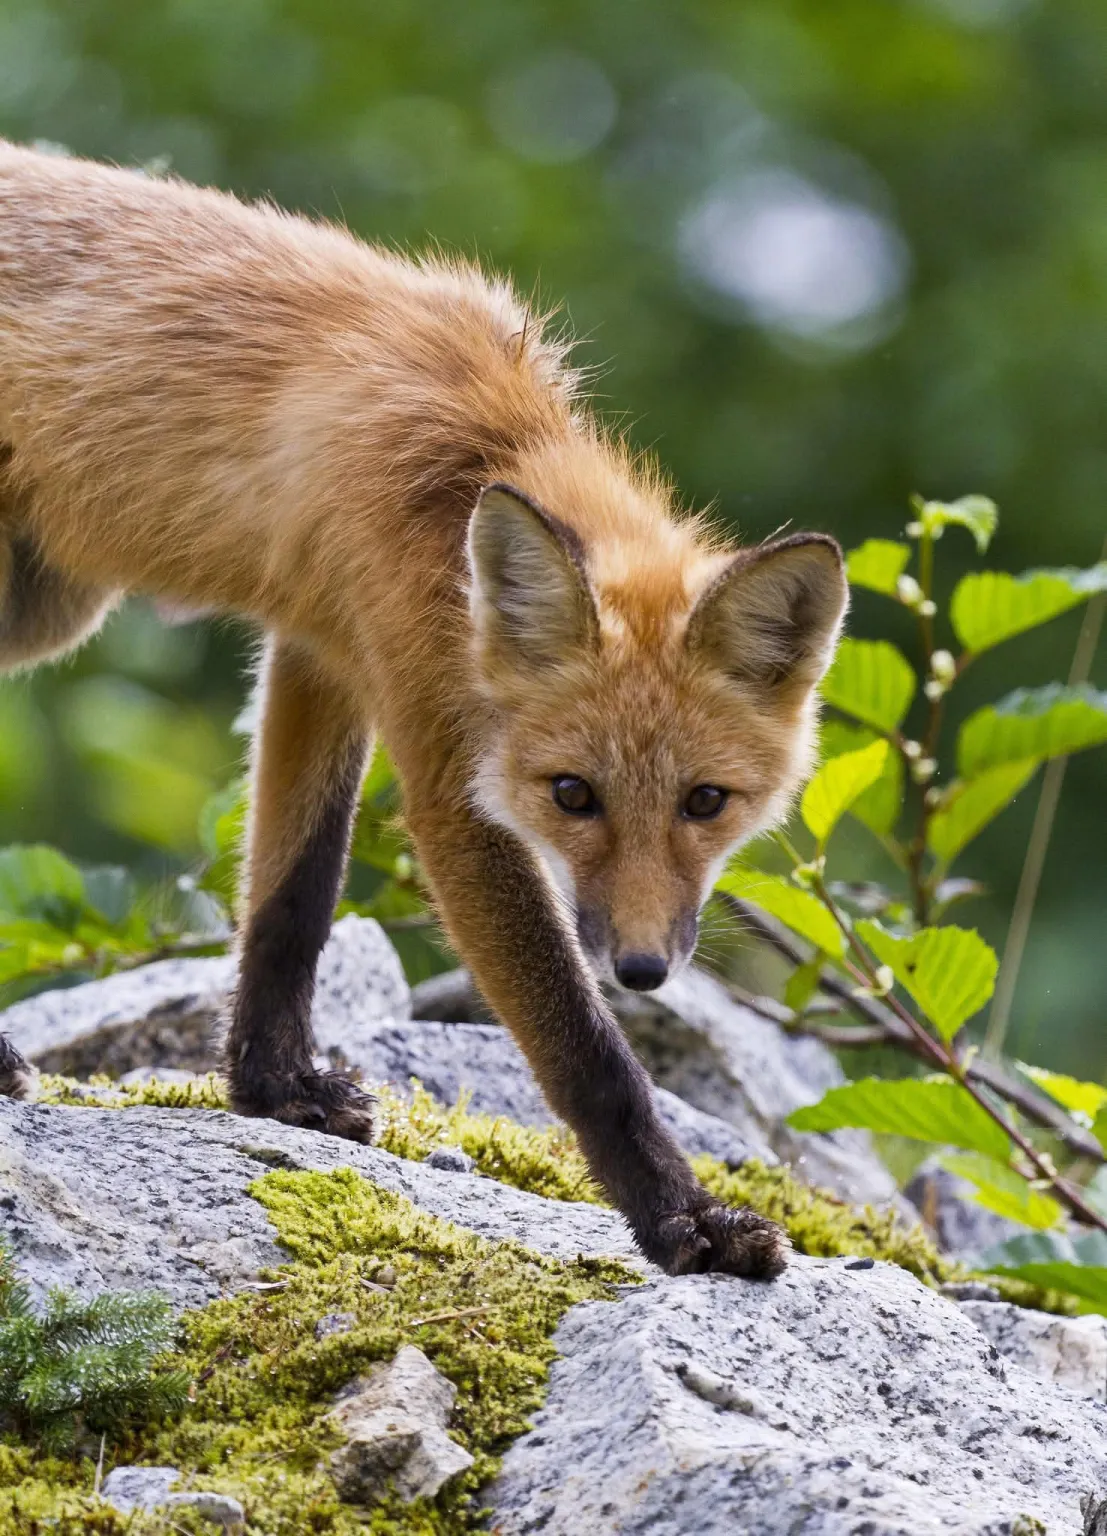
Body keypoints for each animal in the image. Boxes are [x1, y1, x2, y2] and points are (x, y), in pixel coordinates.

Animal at [0, 141, 848, 1278]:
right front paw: (683, 1219)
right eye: (571, 796)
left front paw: (272, 1089)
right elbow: (586, 1052)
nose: (640, 968)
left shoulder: (320, 650)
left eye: (706, 802)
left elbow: (293, 901)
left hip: (50, 608)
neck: (463, 466)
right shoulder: (446, 779)